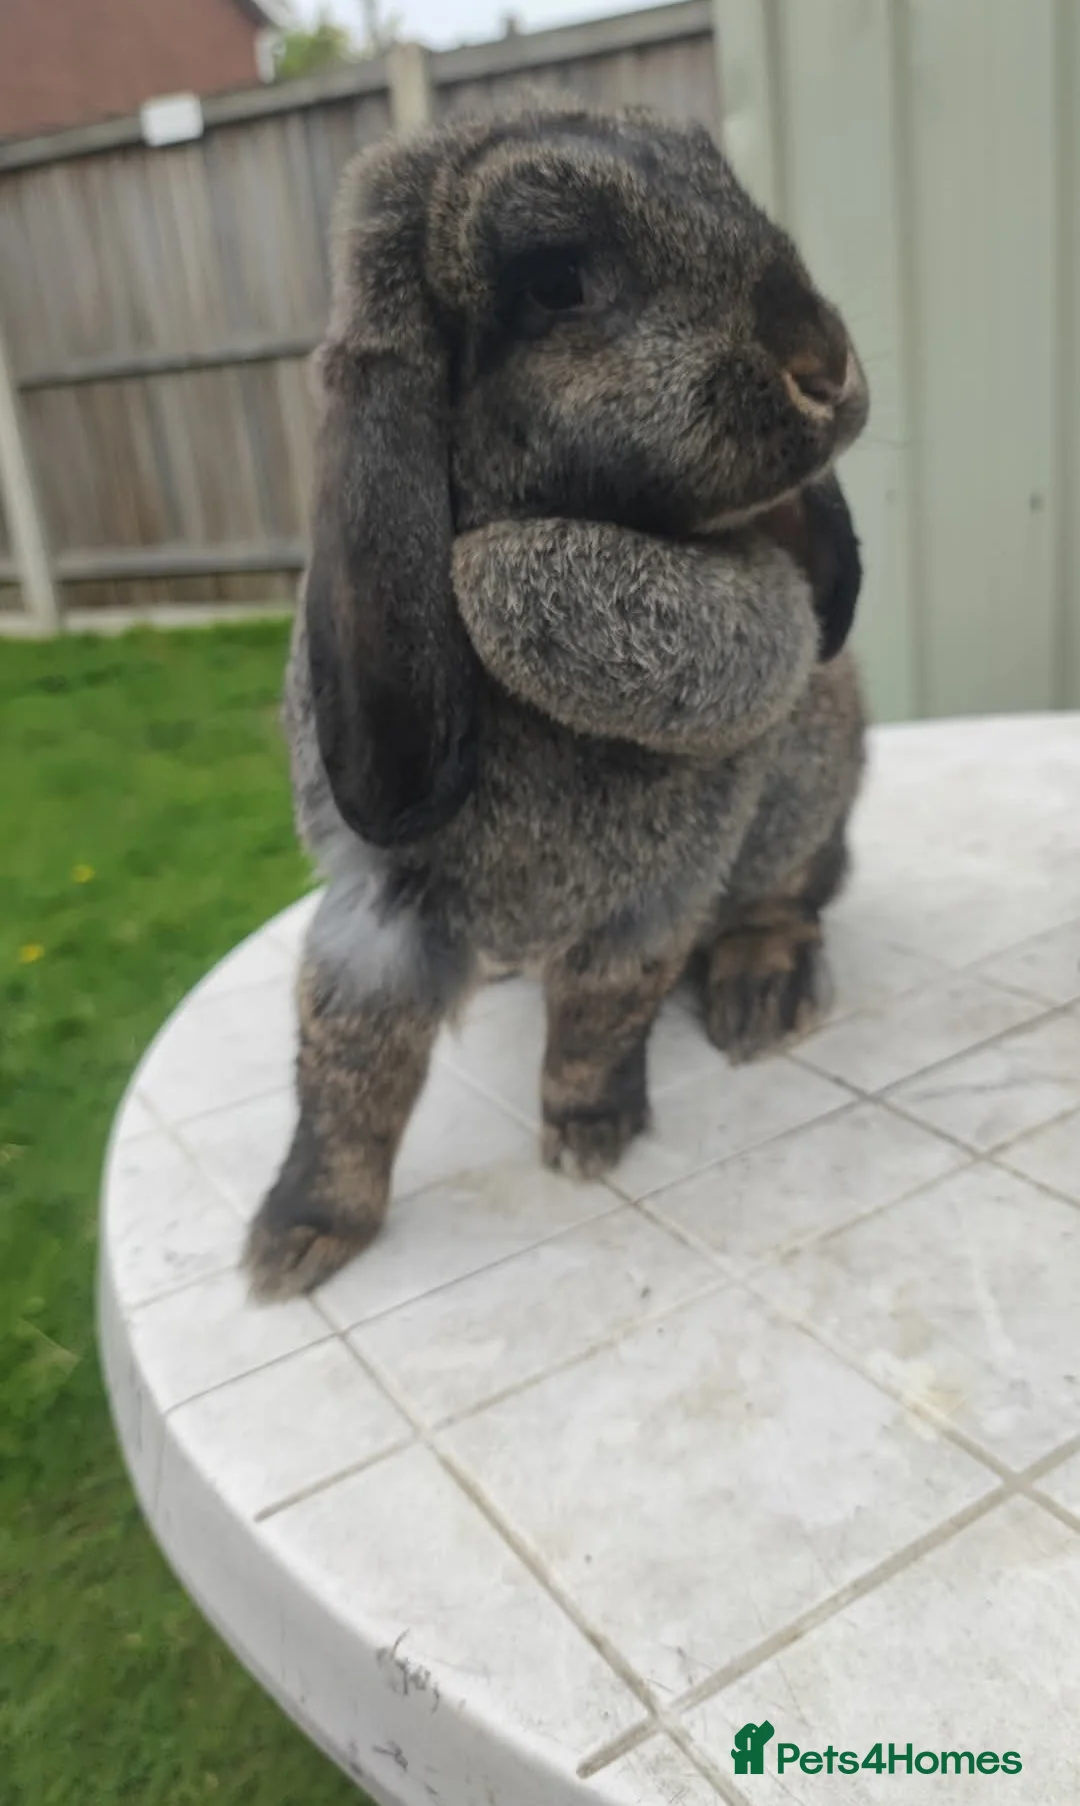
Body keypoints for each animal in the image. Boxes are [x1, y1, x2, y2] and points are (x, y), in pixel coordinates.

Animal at [245, 98, 869, 1300]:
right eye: (558, 284)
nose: (826, 368)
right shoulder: (375, 916)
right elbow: (351, 1065)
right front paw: (297, 1241)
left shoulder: (655, 895)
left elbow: (600, 1014)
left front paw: (587, 1139)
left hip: (808, 786)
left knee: (796, 890)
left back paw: (760, 995)